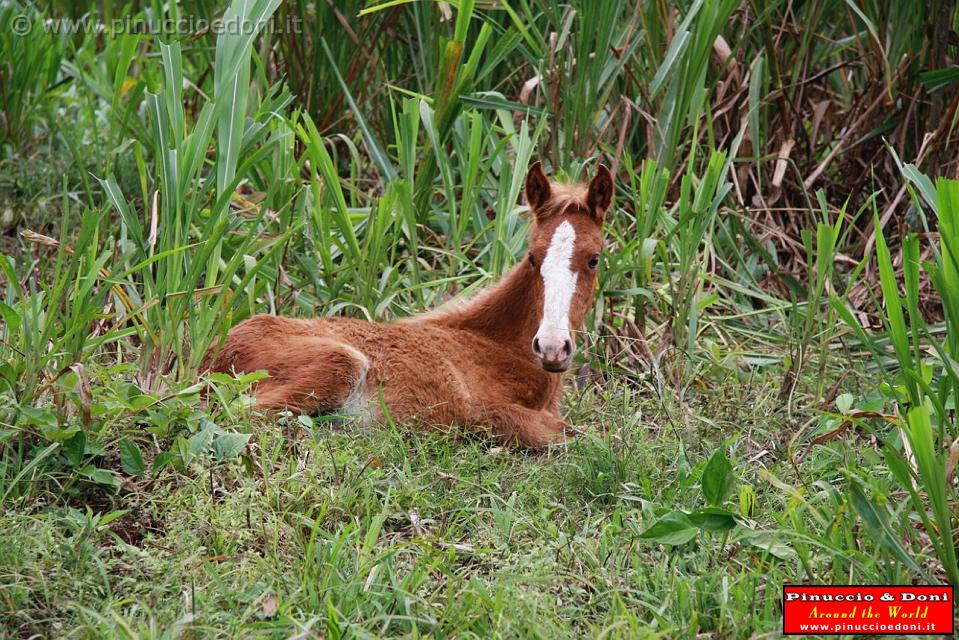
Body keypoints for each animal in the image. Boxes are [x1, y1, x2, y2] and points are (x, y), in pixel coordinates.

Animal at [206, 162, 620, 448]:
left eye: (594, 258)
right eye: (533, 257)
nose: (551, 347)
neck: (497, 347)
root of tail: (212, 354)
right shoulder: (486, 415)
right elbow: (591, 436)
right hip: (339, 363)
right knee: (239, 418)